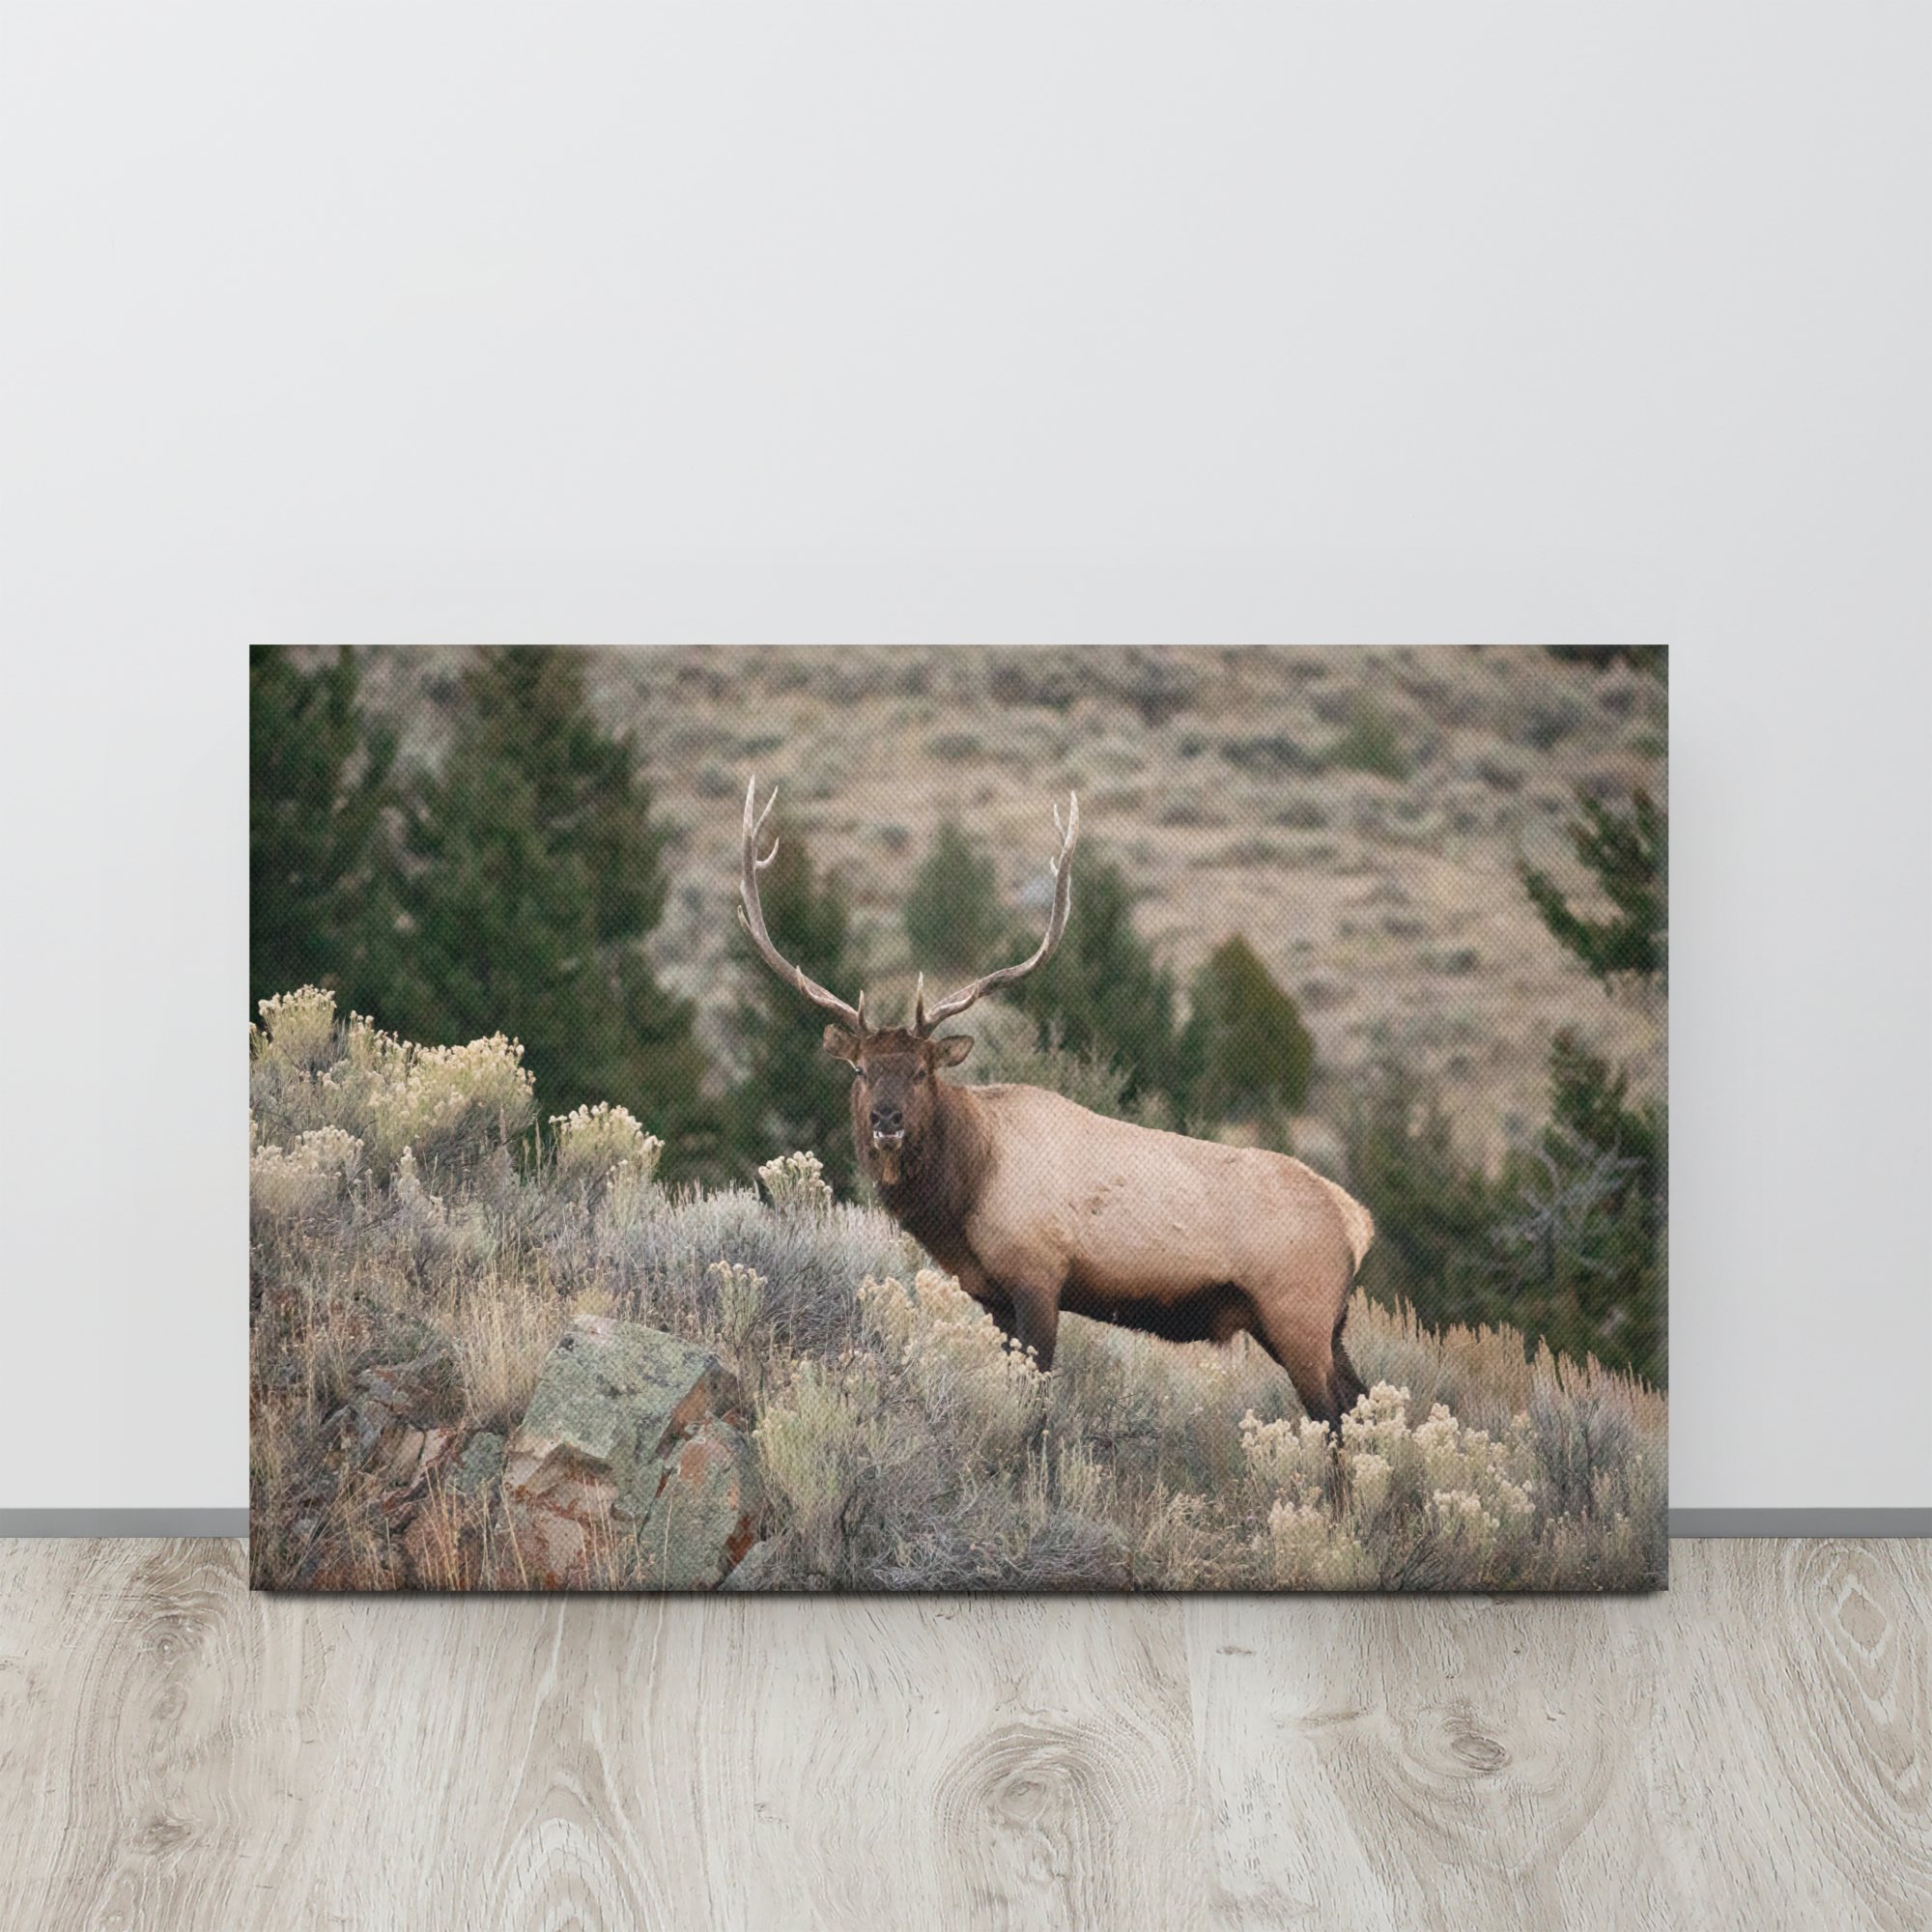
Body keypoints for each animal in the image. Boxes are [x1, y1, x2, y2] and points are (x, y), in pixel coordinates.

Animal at [738, 777, 1375, 1433]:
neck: (967, 1187)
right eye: (862, 1070)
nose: (885, 1121)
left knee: (1337, 1418)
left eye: (921, 1071)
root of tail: (1358, 1221)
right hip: (1323, 1327)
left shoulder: (1038, 1273)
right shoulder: (989, 1292)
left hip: (1297, 1314)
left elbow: (1037, 1403)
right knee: (1363, 1403)